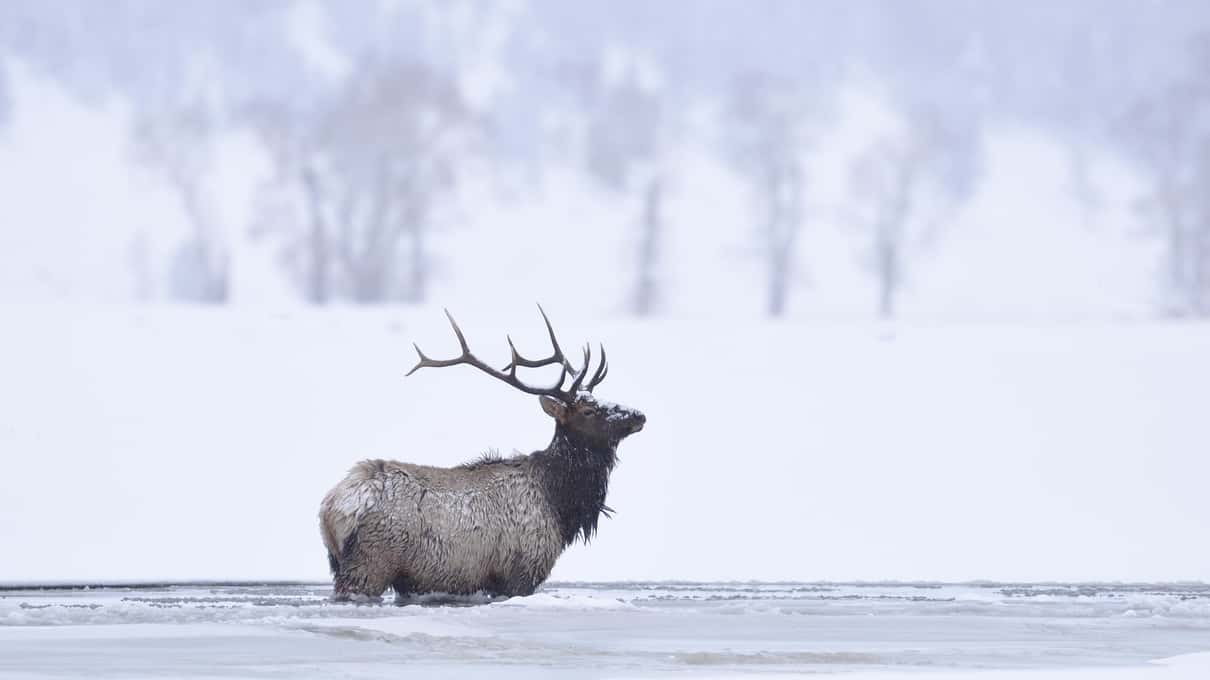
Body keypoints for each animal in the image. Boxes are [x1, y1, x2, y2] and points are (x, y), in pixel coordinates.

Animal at [318, 307, 646, 602]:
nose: (639, 415)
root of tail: (332, 508)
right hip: (371, 561)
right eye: (589, 410)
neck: (560, 504)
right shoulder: (521, 569)